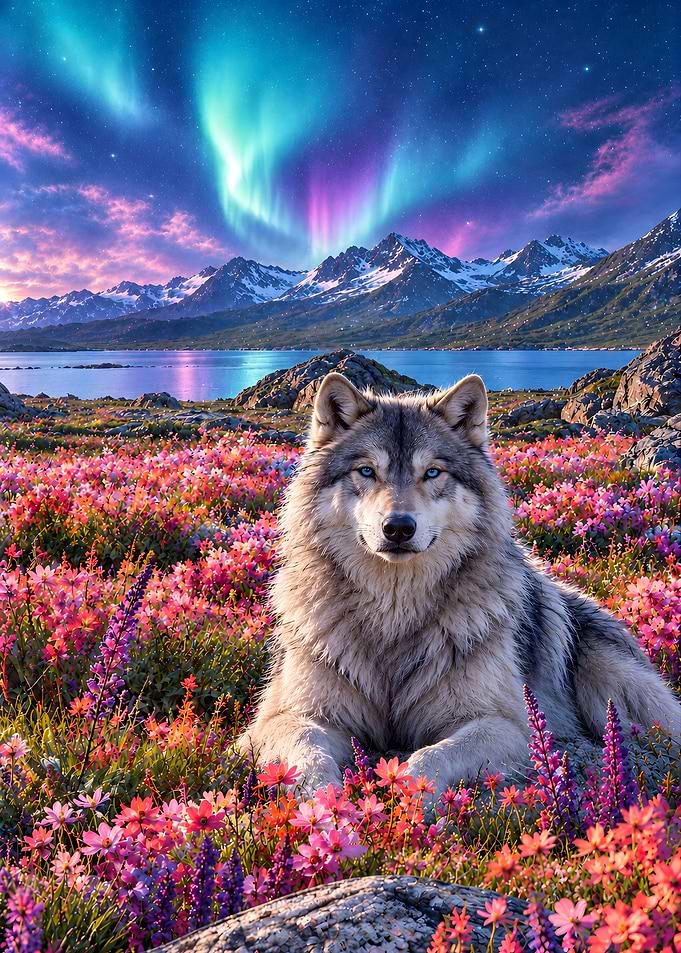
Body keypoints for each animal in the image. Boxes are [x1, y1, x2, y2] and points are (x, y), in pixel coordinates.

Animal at [241, 373, 681, 795]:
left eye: (432, 472)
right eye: (366, 471)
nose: (398, 528)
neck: (393, 613)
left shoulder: (508, 725)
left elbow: (433, 756)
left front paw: (410, 795)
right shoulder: (283, 718)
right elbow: (308, 751)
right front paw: (325, 803)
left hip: (613, 681)